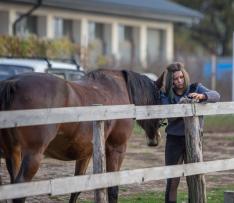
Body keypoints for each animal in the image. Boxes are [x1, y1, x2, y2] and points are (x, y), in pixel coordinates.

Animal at [0, 69, 162, 202]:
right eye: (159, 100)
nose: (155, 139)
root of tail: (12, 82)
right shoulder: (116, 149)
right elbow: (112, 189)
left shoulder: (86, 154)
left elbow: (77, 189)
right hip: (33, 154)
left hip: (13, 153)